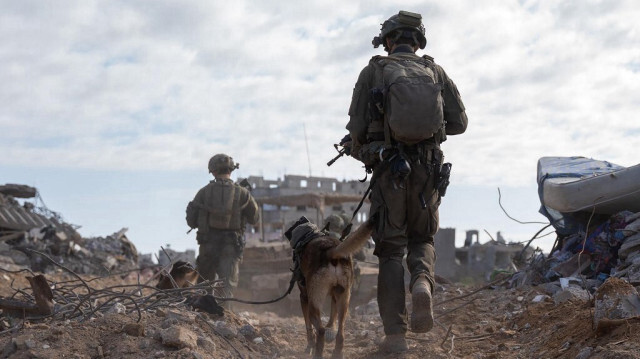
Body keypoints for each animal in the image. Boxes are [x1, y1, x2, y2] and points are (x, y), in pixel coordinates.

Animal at [286, 217, 376, 359]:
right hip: (345, 300)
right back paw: (337, 352)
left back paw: (318, 353)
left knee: (320, 330)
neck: (308, 233)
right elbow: (332, 316)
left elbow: (308, 327)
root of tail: (330, 250)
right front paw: (330, 329)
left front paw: (310, 346)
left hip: (313, 304)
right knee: (341, 333)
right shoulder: (335, 296)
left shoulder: (304, 297)